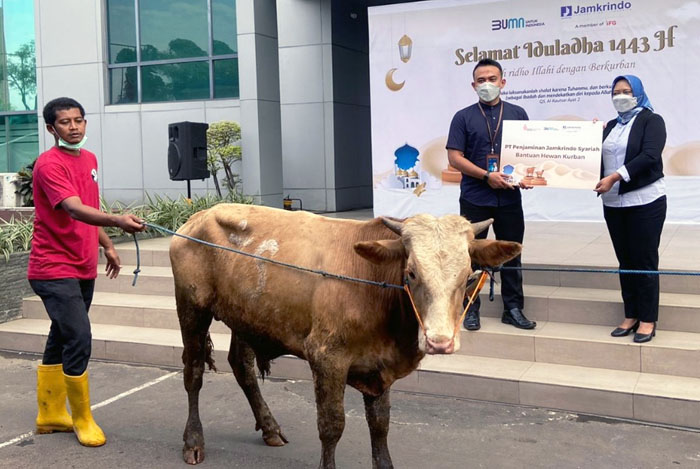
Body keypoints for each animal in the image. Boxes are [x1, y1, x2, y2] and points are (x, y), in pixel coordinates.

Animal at [170, 203, 520, 466]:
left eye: (468, 274)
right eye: (411, 273)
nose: (440, 341)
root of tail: (200, 216)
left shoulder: (379, 366)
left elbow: (379, 426)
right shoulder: (327, 358)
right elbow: (331, 426)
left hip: (245, 317)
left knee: (242, 367)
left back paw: (270, 428)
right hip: (192, 308)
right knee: (193, 371)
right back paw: (193, 442)